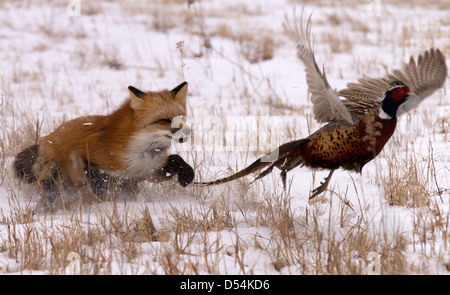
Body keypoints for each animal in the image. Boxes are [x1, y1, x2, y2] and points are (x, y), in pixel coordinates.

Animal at [13, 82, 193, 209]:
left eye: (182, 118)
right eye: (164, 120)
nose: (188, 132)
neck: (141, 152)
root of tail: (45, 140)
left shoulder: (146, 170)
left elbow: (176, 160)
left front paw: (187, 175)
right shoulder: (83, 152)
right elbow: (98, 181)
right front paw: (107, 200)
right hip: (55, 175)